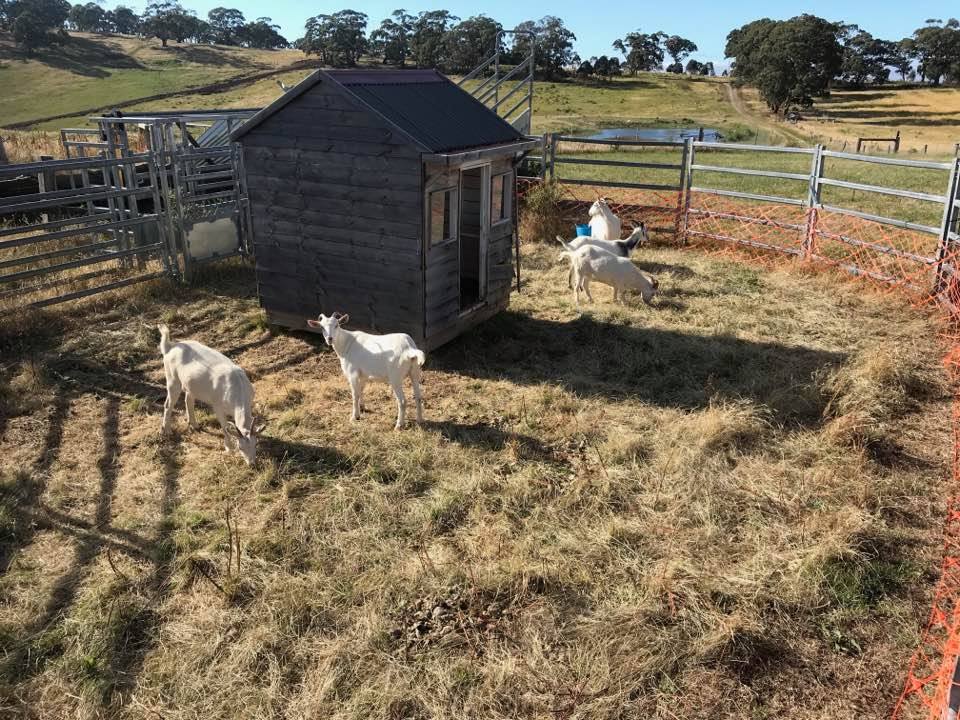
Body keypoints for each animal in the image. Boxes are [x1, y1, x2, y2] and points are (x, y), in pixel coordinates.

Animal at [159, 325, 265, 466]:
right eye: (240, 447)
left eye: (255, 444)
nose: (252, 464)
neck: (238, 389)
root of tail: (170, 347)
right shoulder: (217, 405)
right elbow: (225, 427)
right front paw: (229, 448)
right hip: (172, 379)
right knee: (168, 404)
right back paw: (167, 431)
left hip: (190, 385)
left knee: (188, 399)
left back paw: (195, 425)